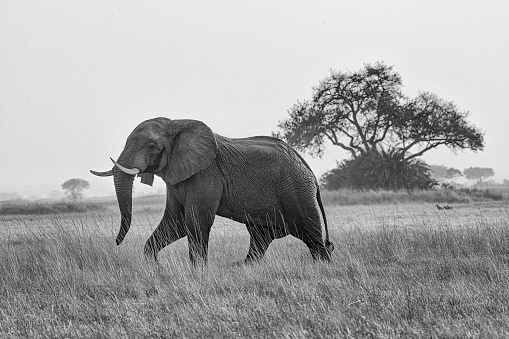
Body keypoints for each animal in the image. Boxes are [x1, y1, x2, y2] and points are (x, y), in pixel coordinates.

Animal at [91, 117, 334, 266]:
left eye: (151, 146)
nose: (116, 243)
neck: (177, 123)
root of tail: (310, 172)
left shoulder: (206, 173)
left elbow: (196, 221)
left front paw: (197, 271)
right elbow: (176, 222)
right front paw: (156, 267)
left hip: (296, 190)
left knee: (312, 236)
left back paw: (323, 266)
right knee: (261, 237)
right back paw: (243, 266)